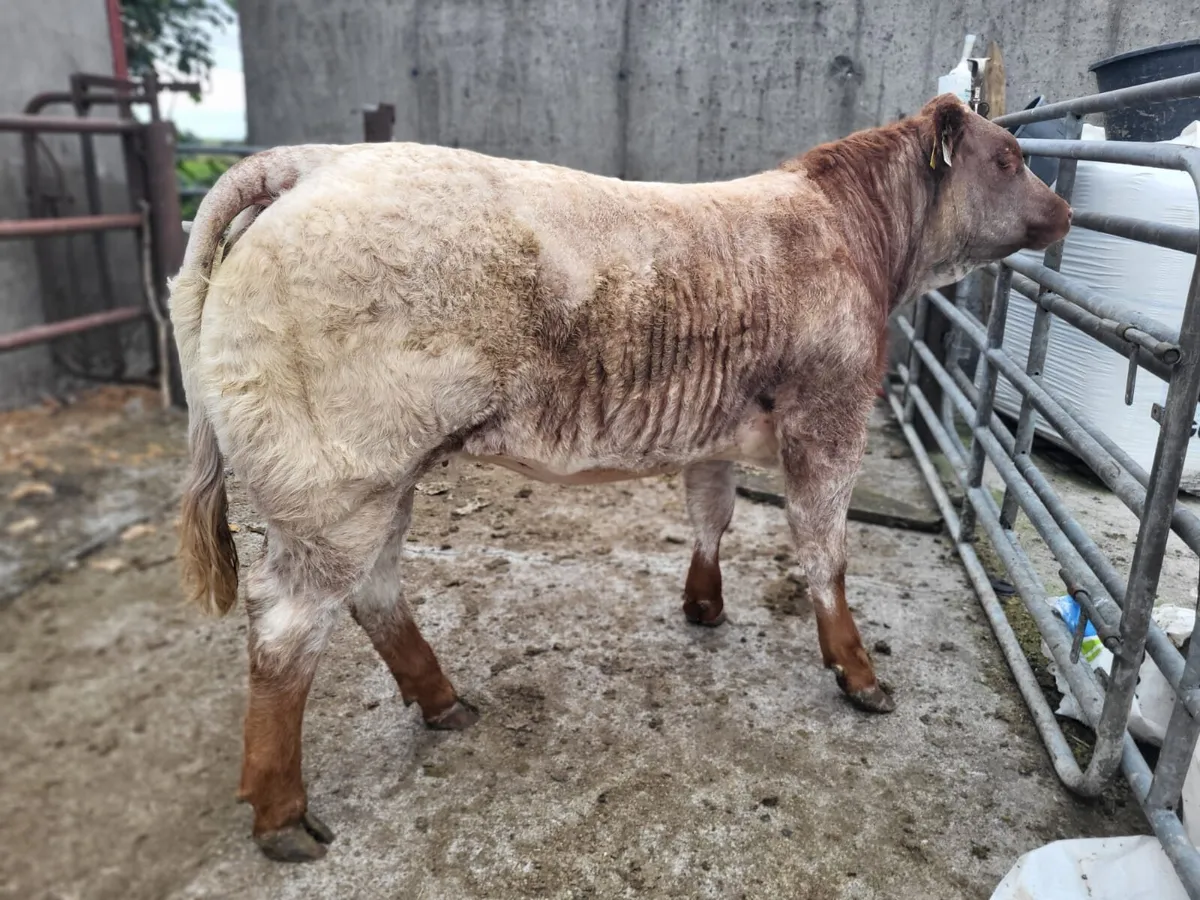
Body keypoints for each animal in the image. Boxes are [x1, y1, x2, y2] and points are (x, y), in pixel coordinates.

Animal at [170, 93, 1070, 861]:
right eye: (1010, 157)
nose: (1064, 212)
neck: (856, 236)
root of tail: (314, 162)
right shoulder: (831, 420)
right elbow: (825, 554)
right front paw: (858, 673)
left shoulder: (716, 429)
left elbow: (711, 512)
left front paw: (704, 605)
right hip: (336, 482)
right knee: (286, 632)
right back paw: (283, 813)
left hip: (380, 481)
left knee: (375, 590)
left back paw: (442, 700)